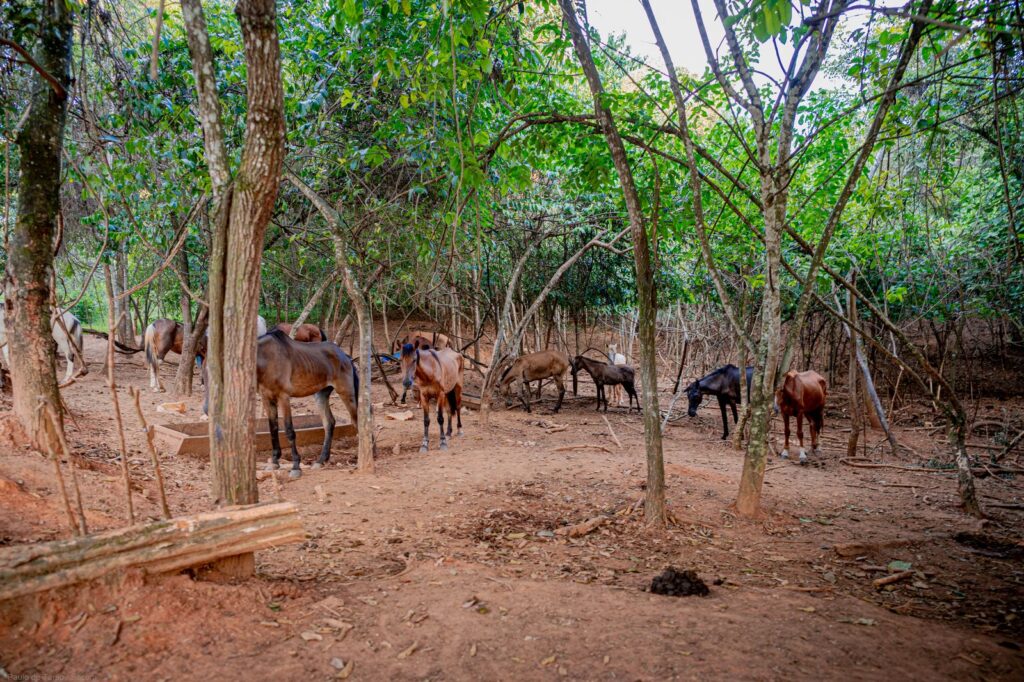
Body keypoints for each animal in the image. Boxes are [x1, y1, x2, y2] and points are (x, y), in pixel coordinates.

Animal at [258, 329, 358, 477]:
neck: (268, 358)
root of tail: (345, 356)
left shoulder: (283, 397)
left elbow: (289, 431)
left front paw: (295, 467)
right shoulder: (267, 398)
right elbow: (273, 430)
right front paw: (274, 462)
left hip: (346, 393)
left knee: (358, 420)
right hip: (321, 395)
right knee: (329, 423)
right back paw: (320, 461)